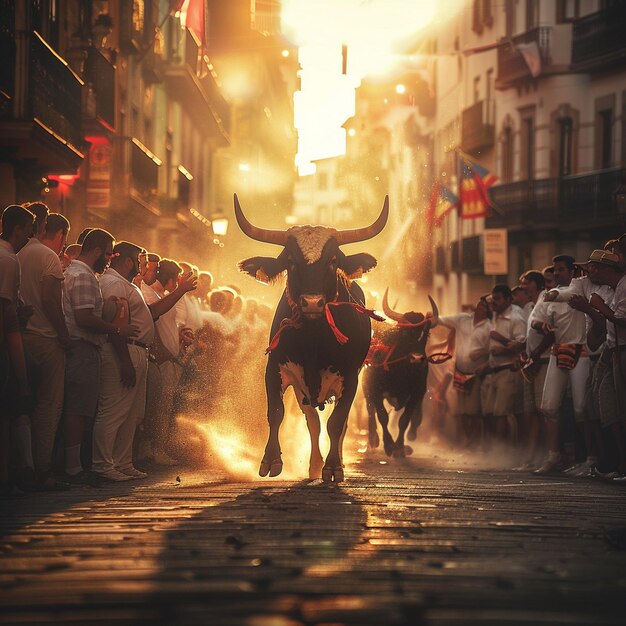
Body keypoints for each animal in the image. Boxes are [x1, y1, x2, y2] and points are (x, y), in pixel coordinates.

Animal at [236, 193, 388, 480]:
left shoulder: (350, 378)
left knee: (338, 424)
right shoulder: (275, 369)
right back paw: (314, 465)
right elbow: (277, 413)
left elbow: (337, 423)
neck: (313, 341)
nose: (312, 302)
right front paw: (271, 460)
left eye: (333, 261)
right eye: (291, 261)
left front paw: (333, 466)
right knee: (313, 422)